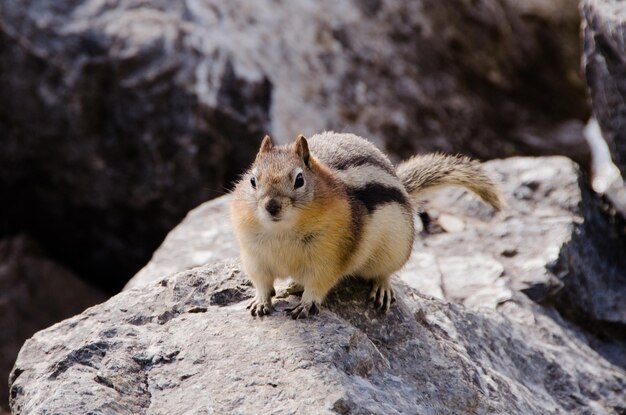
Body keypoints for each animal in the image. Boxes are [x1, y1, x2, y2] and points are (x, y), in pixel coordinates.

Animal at [230, 132, 502, 320]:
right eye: (252, 180)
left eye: (299, 180)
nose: (272, 206)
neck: (282, 231)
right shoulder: (254, 256)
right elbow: (261, 282)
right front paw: (260, 301)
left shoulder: (329, 256)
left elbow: (319, 282)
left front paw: (307, 303)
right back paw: (293, 285)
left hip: (394, 249)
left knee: (384, 272)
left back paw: (382, 288)